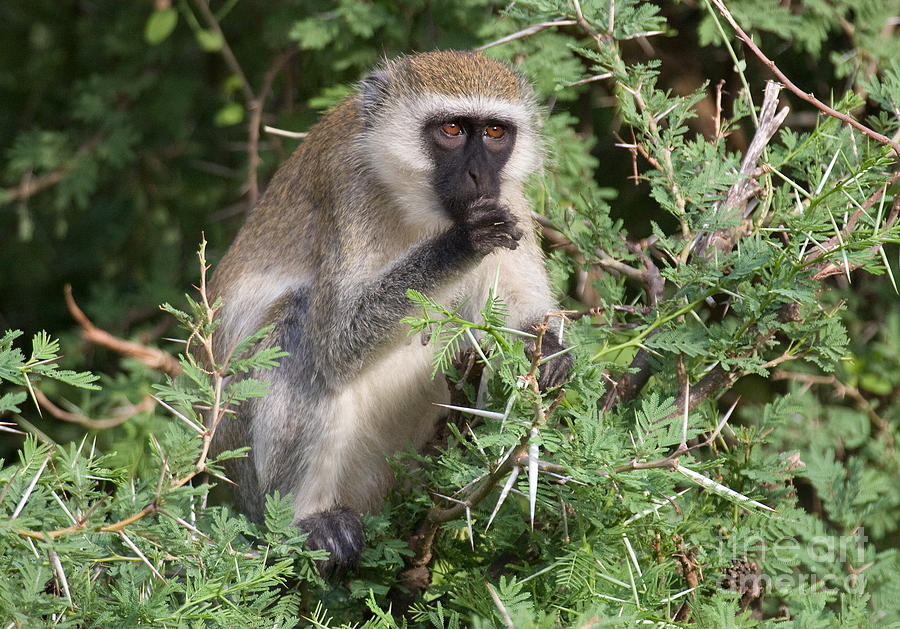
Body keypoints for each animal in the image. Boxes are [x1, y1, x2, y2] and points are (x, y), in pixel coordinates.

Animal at [209, 51, 568, 576]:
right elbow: (339, 342)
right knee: (298, 333)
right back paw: (307, 522)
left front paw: (549, 352)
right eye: (453, 129)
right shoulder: (349, 187)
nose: (480, 177)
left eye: (495, 132)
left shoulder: (511, 200)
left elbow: (521, 303)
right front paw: (462, 242)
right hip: (249, 473)